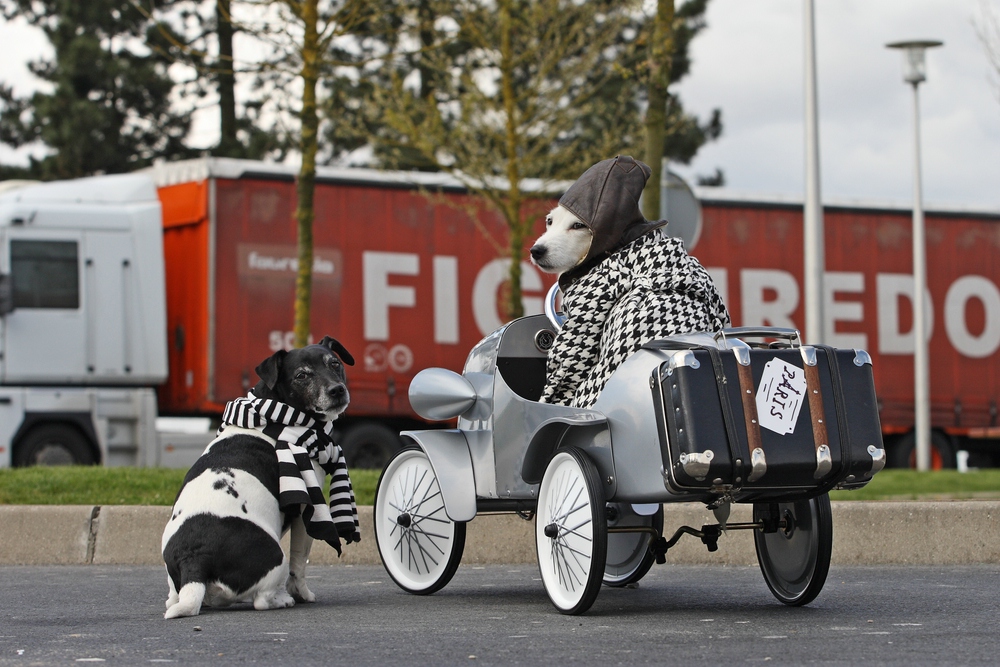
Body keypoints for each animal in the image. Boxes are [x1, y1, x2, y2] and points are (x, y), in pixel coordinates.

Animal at [161, 340, 356, 620]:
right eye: (301, 375)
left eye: (335, 364)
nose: (337, 390)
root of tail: (195, 559)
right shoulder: (306, 511)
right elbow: (300, 563)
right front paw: (302, 594)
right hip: (277, 560)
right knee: (262, 600)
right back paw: (282, 600)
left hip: (173, 578)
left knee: (174, 598)